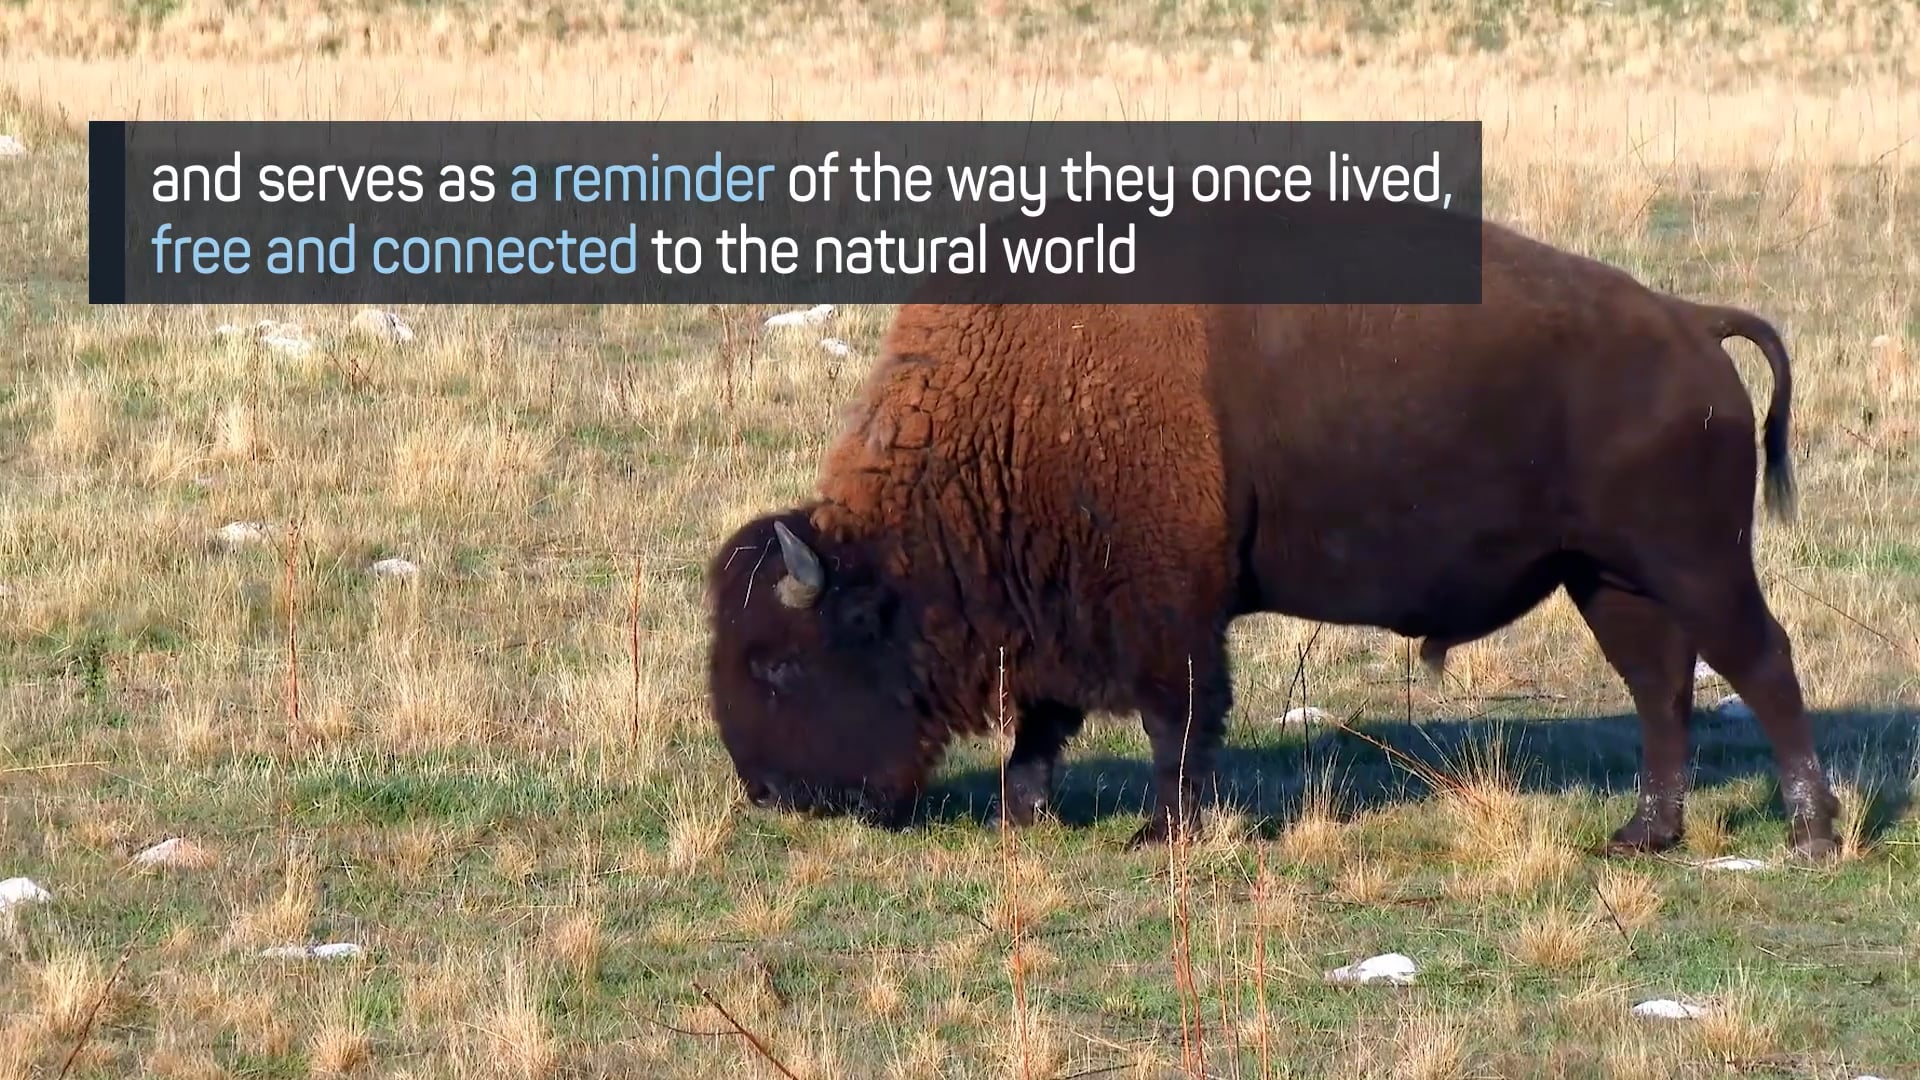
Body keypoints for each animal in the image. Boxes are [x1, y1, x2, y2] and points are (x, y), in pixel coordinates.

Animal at [702, 215, 1842, 861]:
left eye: (781, 667)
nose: (772, 794)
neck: (1025, 404)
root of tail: (1690, 321)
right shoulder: (1064, 615)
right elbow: (1046, 720)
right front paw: (1023, 814)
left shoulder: (1167, 612)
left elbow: (1176, 721)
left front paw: (1160, 831)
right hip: (1609, 579)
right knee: (1662, 687)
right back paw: (1644, 836)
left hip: (1694, 562)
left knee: (1761, 664)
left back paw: (1810, 835)